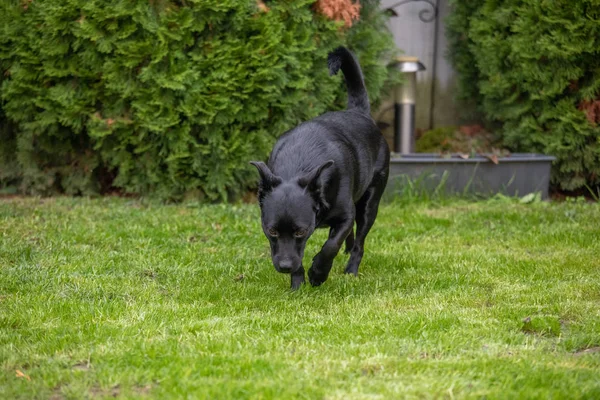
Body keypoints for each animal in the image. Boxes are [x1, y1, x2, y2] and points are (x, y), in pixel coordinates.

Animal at [248, 47, 390, 290]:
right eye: (271, 231)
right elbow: (305, 254)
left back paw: (351, 269)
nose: (285, 267)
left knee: (360, 241)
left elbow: (330, 245)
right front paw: (297, 284)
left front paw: (317, 274)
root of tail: (359, 112)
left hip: (370, 204)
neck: (300, 163)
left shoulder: (345, 216)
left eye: (301, 231)